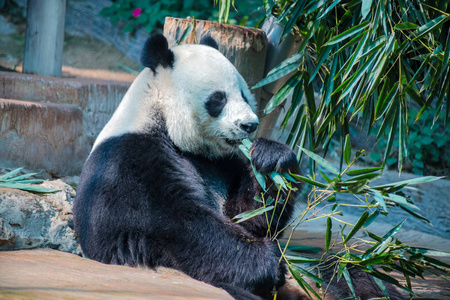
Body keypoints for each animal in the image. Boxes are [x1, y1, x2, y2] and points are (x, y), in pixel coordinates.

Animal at [73, 33, 298, 300]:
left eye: (243, 95)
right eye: (218, 99)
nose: (249, 125)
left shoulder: (220, 164)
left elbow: (249, 217)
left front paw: (271, 160)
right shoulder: (128, 162)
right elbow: (176, 223)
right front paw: (268, 262)